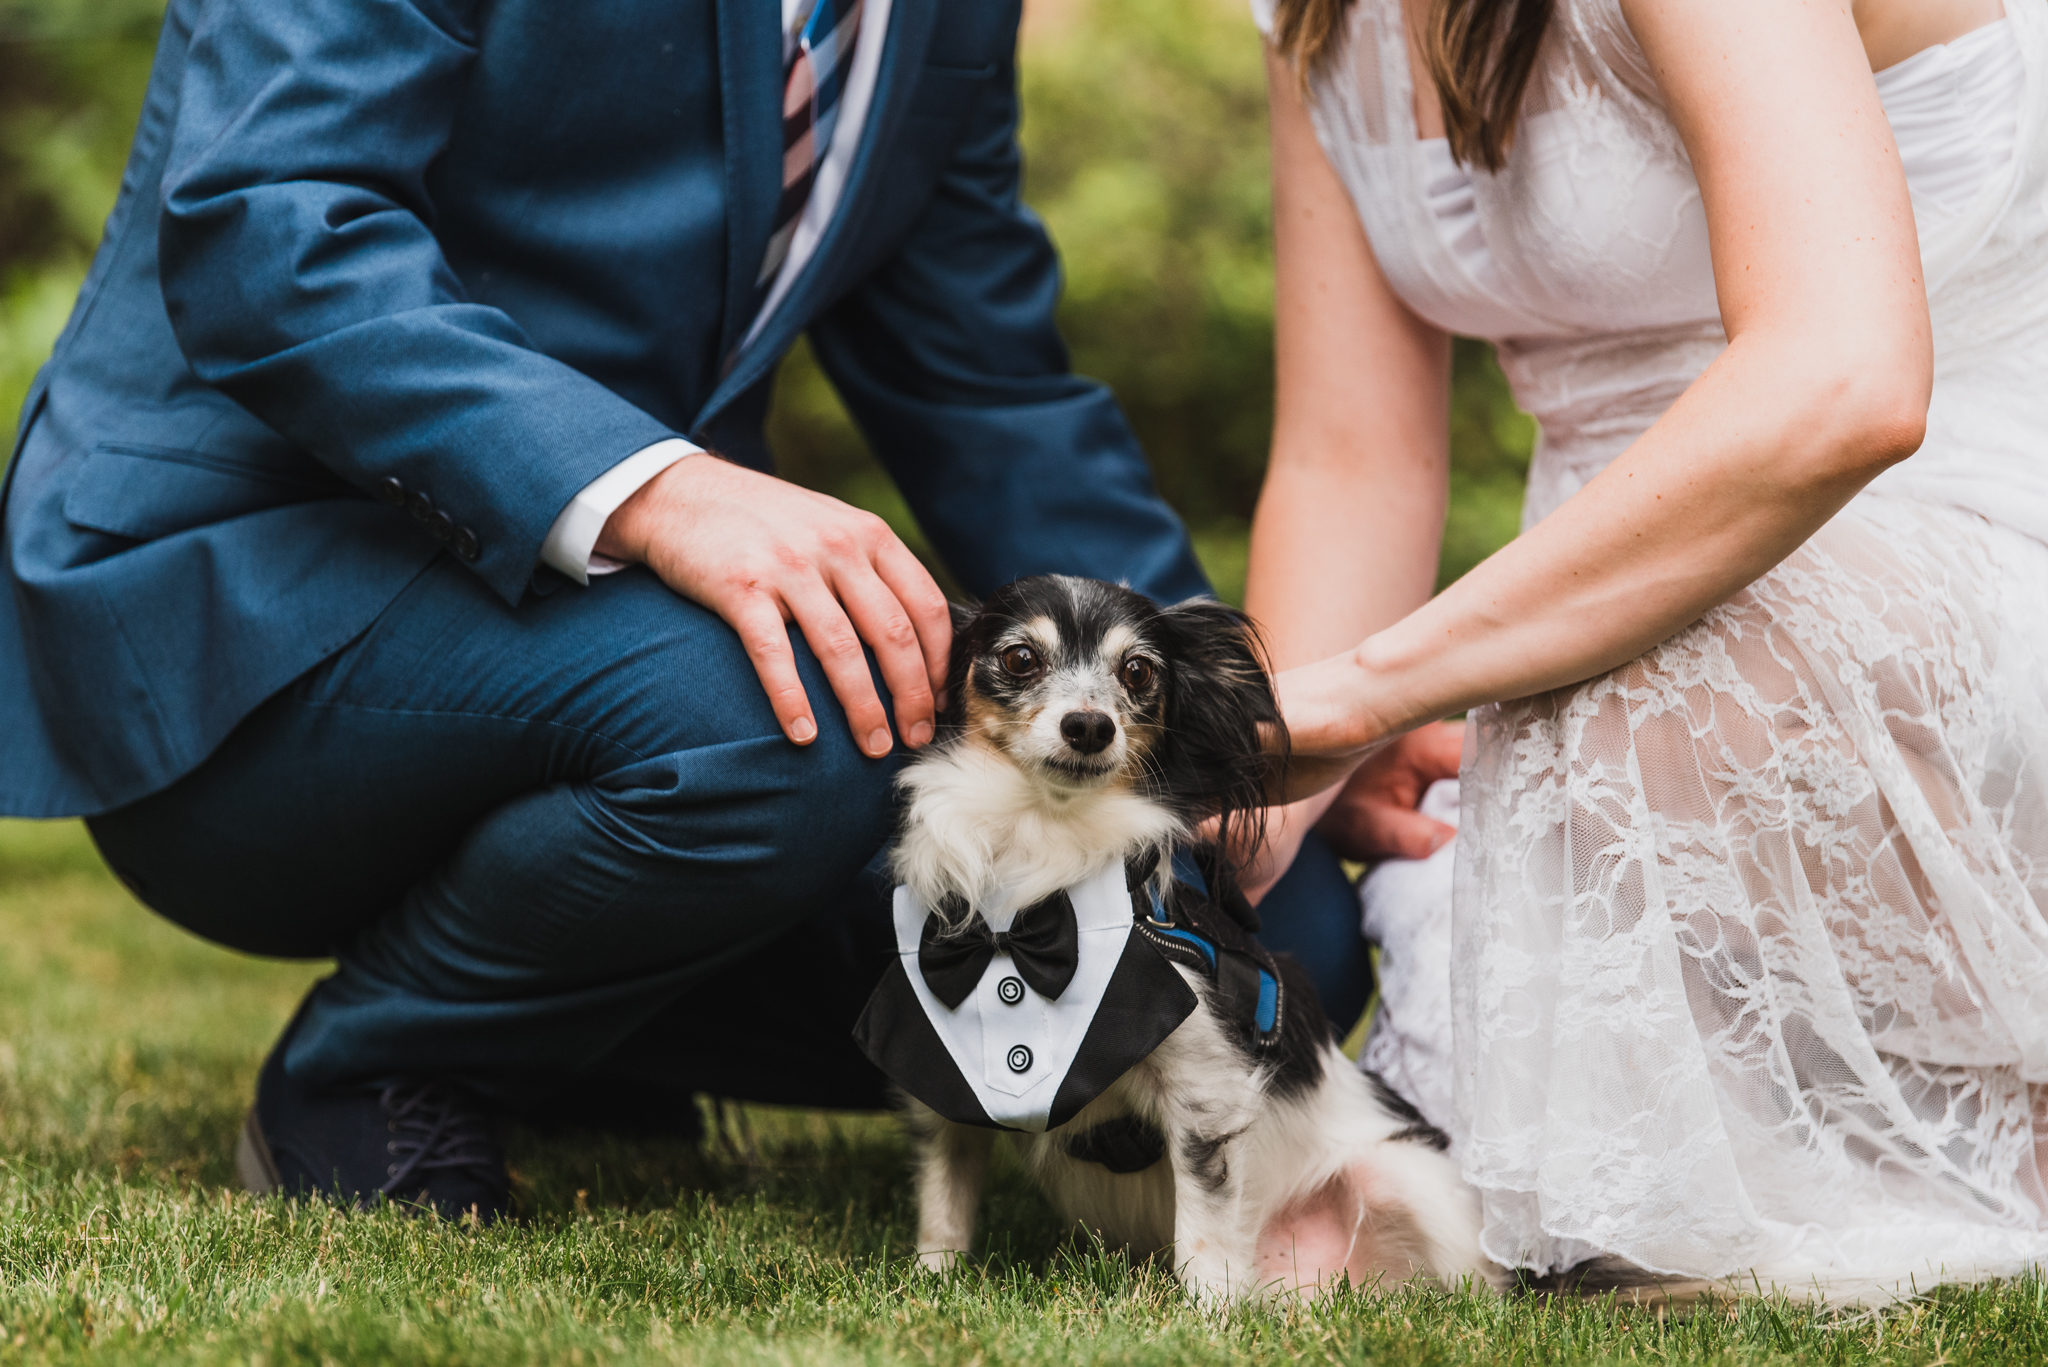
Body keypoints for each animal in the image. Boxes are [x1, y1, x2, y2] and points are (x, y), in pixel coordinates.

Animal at [847, 577, 1507, 1303]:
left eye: (1138, 672)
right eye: (1020, 658)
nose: (1089, 726)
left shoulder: (1202, 1092)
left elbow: (1205, 1226)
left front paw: (1207, 1309)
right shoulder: (945, 1090)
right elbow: (944, 1203)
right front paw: (933, 1281)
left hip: (1405, 1183)